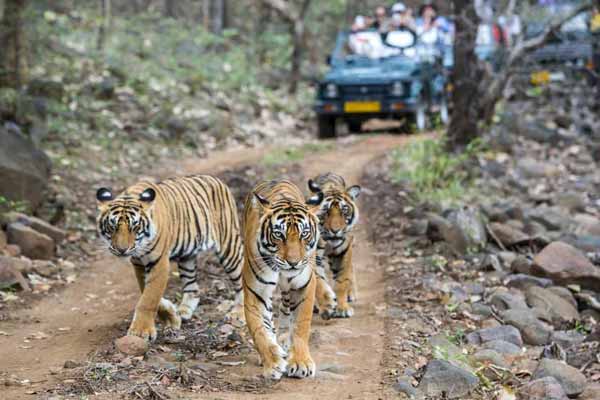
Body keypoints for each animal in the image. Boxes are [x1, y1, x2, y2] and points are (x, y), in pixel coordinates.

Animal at [96, 175, 244, 340]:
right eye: (112, 227)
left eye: (135, 227)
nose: (122, 250)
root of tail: (216, 179)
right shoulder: (138, 264)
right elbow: (146, 291)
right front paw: (171, 317)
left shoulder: (159, 262)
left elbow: (149, 297)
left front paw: (141, 331)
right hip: (187, 257)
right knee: (193, 288)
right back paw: (183, 311)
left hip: (229, 246)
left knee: (241, 281)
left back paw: (238, 314)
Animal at [241, 180, 324, 380]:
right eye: (279, 234)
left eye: (304, 234)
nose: (293, 263)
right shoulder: (256, 291)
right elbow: (259, 330)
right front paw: (272, 363)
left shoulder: (304, 286)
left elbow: (301, 326)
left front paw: (301, 363)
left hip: (288, 289)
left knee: (286, 309)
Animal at [310, 172, 360, 318]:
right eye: (325, 212)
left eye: (344, 211)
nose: (335, 230)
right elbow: (319, 282)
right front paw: (327, 306)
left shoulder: (343, 251)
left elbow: (342, 280)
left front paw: (342, 308)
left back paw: (351, 294)